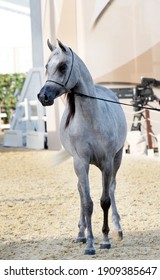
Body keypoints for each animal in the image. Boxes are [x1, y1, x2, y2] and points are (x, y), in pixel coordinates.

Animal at [37, 40, 126, 256]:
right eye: (47, 66)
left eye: (62, 66)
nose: (43, 96)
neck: (91, 120)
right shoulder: (81, 163)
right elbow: (87, 203)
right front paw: (90, 243)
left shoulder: (107, 163)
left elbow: (104, 201)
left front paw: (105, 240)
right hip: (80, 167)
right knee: (80, 191)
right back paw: (81, 233)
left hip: (117, 159)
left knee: (112, 189)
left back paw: (117, 229)